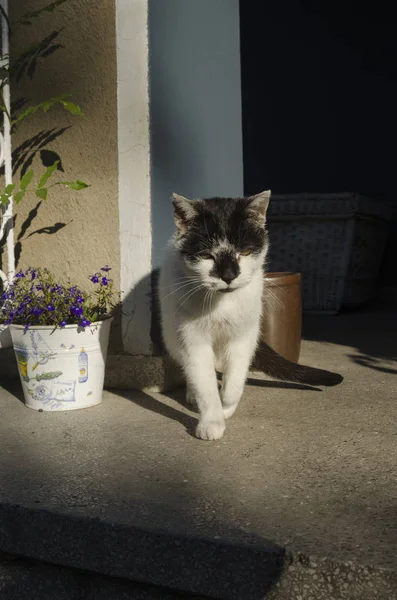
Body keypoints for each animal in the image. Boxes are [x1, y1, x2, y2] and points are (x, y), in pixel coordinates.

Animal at [159, 192, 342, 440]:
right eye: (207, 256)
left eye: (244, 252)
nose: (228, 276)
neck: (222, 303)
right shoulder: (193, 339)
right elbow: (203, 381)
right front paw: (212, 421)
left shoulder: (243, 335)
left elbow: (236, 378)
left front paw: (226, 405)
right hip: (171, 330)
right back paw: (191, 392)